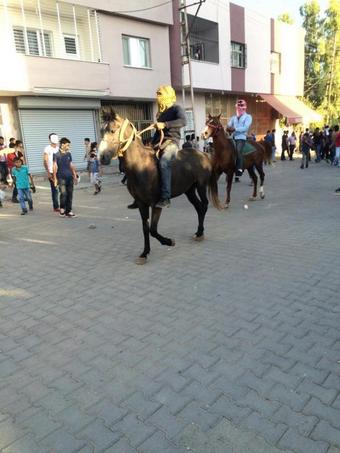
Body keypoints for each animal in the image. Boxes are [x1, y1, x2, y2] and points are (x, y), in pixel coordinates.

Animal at [97, 111, 223, 264]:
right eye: (101, 130)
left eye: (112, 130)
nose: (102, 157)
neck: (140, 166)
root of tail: (204, 154)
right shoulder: (141, 203)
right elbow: (145, 228)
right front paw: (144, 253)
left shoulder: (156, 204)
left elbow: (153, 230)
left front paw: (169, 241)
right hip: (189, 190)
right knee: (199, 207)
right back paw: (199, 232)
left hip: (201, 186)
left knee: (204, 205)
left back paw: (200, 233)